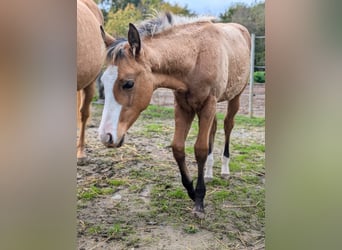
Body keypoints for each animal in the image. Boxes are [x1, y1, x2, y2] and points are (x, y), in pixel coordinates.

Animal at [97, 13, 250, 217]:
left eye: (128, 83)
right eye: (104, 81)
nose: (106, 136)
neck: (195, 56)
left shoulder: (208, 104)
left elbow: (200, 149)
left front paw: (199, 200)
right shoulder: (183, 107)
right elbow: (178, 148)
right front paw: (191, 190)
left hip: (235, 96)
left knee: (228, 126)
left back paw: (225, 169)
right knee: (214, 129)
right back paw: (209, 172)